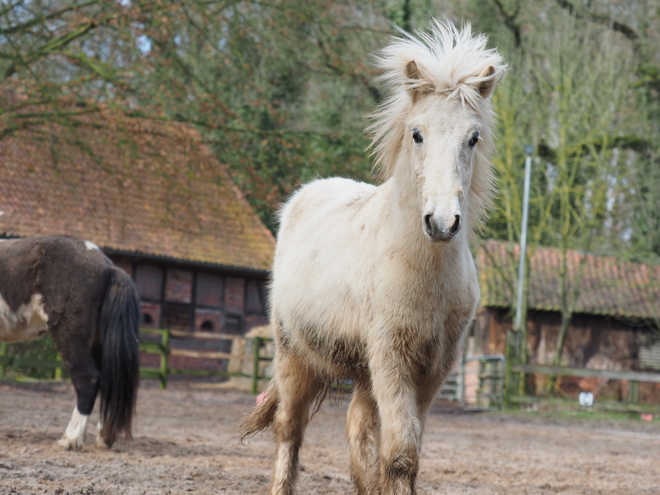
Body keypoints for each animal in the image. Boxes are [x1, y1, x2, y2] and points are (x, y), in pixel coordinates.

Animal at [242, 20, 506, 495]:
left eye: (473, 138)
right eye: (416, 134)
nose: (442, 222)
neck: (424, 271)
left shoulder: (434, 368)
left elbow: (403, 454)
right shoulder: (391, 358)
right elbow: (399, 454)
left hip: (363, 373)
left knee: (357, 430)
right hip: (295, 355)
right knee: (289, 430)